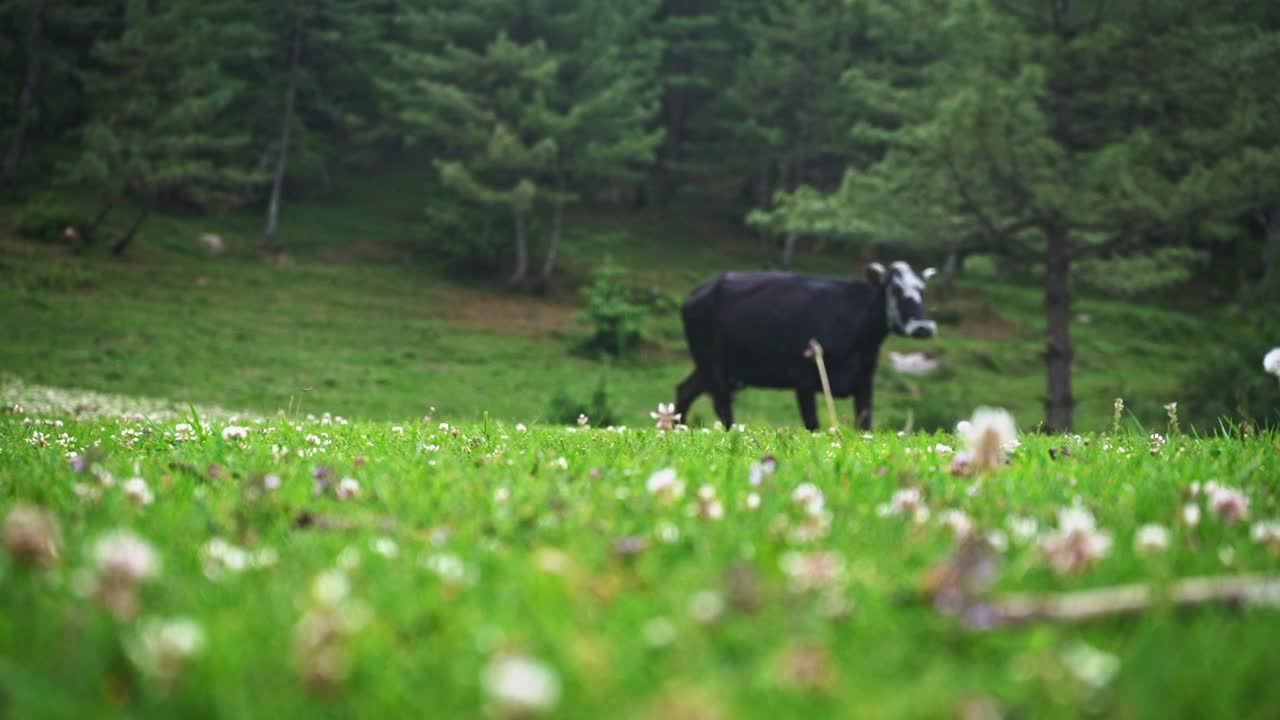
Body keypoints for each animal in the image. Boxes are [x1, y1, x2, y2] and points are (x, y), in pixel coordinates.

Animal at [673, 261, 937, 431]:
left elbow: (865, 424)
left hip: (714, 368)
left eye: (923, 291)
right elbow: (812, 424)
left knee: (685, 390)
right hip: (711, 364)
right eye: (895, 289)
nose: (923, 327)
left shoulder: (865, 380)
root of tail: (695, 295)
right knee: (722, 404)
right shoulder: (803, 379)